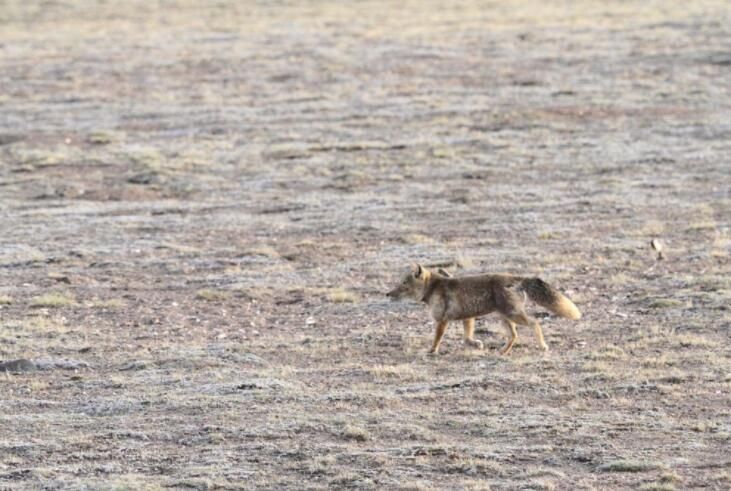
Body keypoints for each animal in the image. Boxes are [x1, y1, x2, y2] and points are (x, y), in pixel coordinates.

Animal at [386, 263, 581, 355]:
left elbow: (437, 339)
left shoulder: (442, 320)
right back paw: (503, 352)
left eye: (403, 283)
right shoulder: (468, 317)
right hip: (505, 318)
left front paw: (431, 351)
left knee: (535, 323)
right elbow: (467, 338)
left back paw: (542, 346)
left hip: (513, 315)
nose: (388, 294)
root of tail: (516, 277)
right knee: (514, 336)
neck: (433, 287)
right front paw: (477, 344)